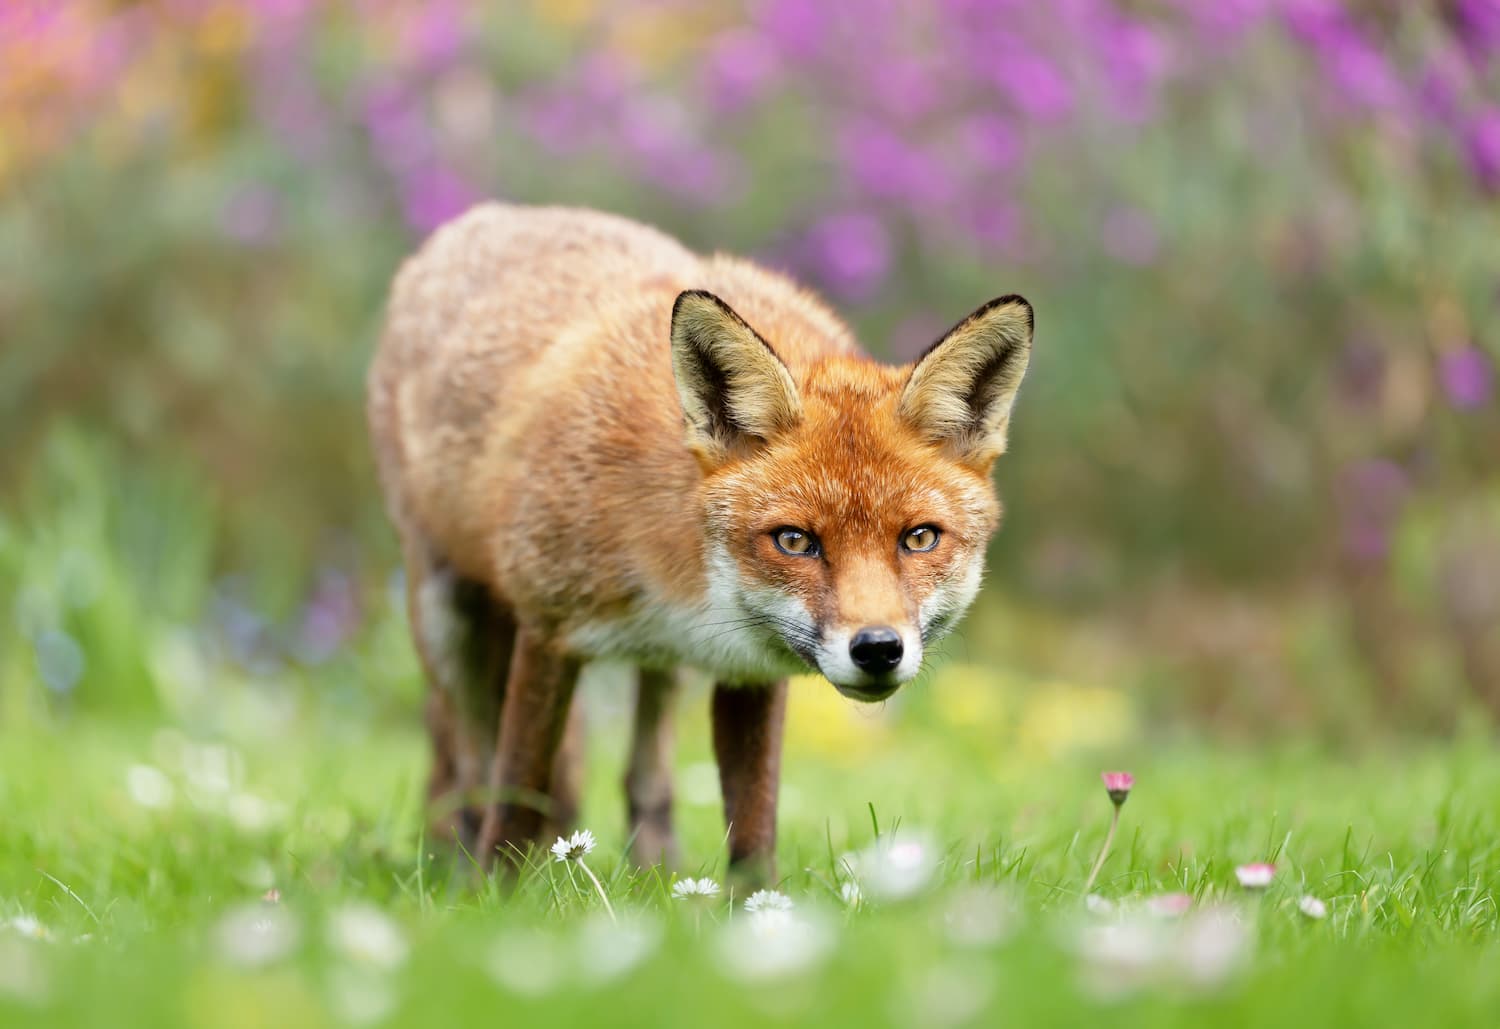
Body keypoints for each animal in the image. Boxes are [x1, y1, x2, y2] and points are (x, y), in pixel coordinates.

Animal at [368, 204, 1032, 880]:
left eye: (919, 538)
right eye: (794, 541)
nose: (877, 650)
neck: (687, 572)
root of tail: (494, 214)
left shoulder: (749, 668)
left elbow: (753, 824)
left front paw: (757, 907)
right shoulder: (547, 627)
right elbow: (516, 793)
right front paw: (497, 892)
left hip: (662, 668)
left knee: (646, 775)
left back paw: (654, 873)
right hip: (448, 621)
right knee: (470, 762)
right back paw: (464, 863)